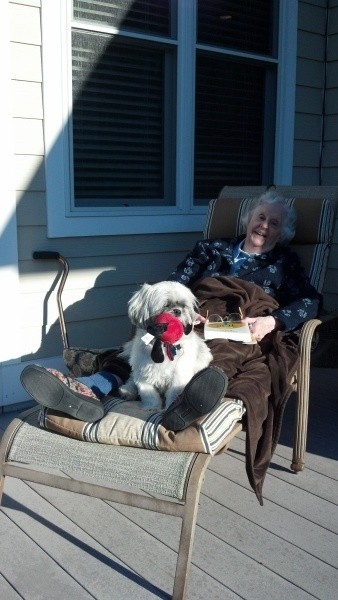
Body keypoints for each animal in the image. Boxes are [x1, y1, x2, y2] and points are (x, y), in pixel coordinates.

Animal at [119, 280, 211, 410]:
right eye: (165, 305)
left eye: (183, 306)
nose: (178, 311)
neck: (162, 345)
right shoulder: (143, 375)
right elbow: (149, 394)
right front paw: (152, 407)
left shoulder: (178, 376)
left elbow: (174, 393)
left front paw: (170, 407)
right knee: (131, 379)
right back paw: (127, 391)